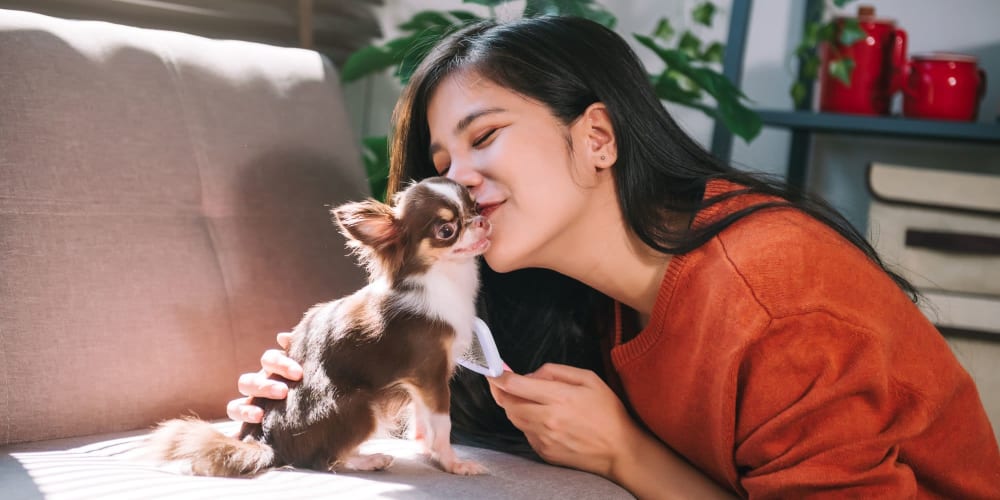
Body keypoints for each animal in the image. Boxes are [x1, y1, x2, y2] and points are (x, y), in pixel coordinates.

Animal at [147, 176, 488, 476]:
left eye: (476, 205)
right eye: (446, 230)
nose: (482, 221)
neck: (443, 279)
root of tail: (267, 443)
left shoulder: (420, 383)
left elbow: (421, 420)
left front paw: (426, 450)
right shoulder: (431, 375)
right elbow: (442, 424)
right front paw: (454, 463)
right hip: (362, 408)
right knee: (322, 460)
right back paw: (369, 459)